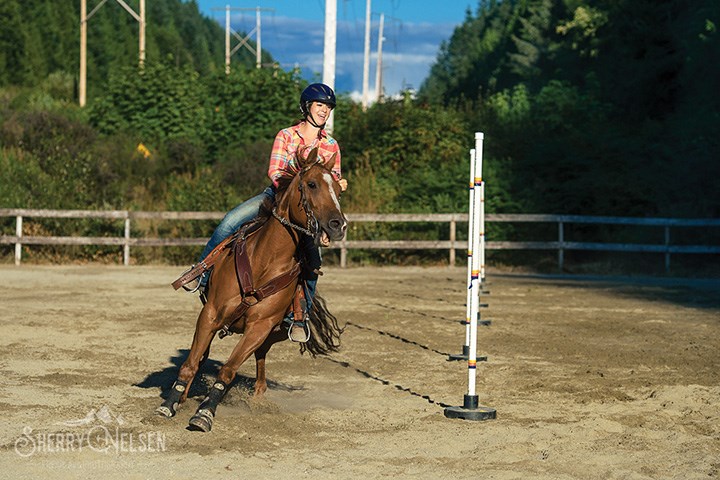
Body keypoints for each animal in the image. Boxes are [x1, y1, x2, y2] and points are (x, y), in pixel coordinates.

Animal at [157, 146, 346, 432]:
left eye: (337, 187)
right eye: (312, 184)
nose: (338, 225)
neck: (263, 262)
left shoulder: (259, 326)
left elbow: (228, 370)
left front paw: (205, 413)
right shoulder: (210, 314)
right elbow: (190, 363)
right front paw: (170, 403)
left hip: (273, 333)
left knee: (260, 358)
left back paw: (257, 398)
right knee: (202, 356)